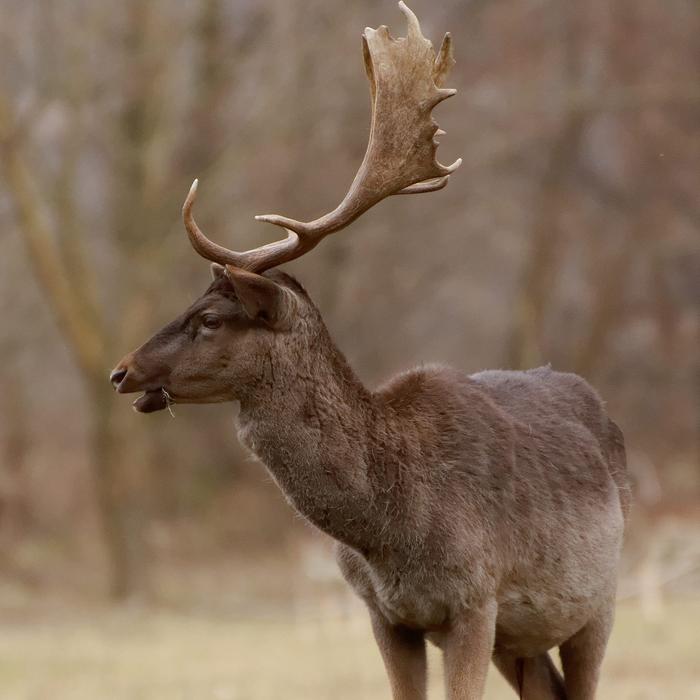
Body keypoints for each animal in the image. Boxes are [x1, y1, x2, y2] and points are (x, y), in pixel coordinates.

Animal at [110, 4, 630, 698]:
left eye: (211, 318)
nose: (121, 371)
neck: (391, 531)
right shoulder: (383, 613)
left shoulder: (477, 599)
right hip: (524, 636)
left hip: (601, 597)